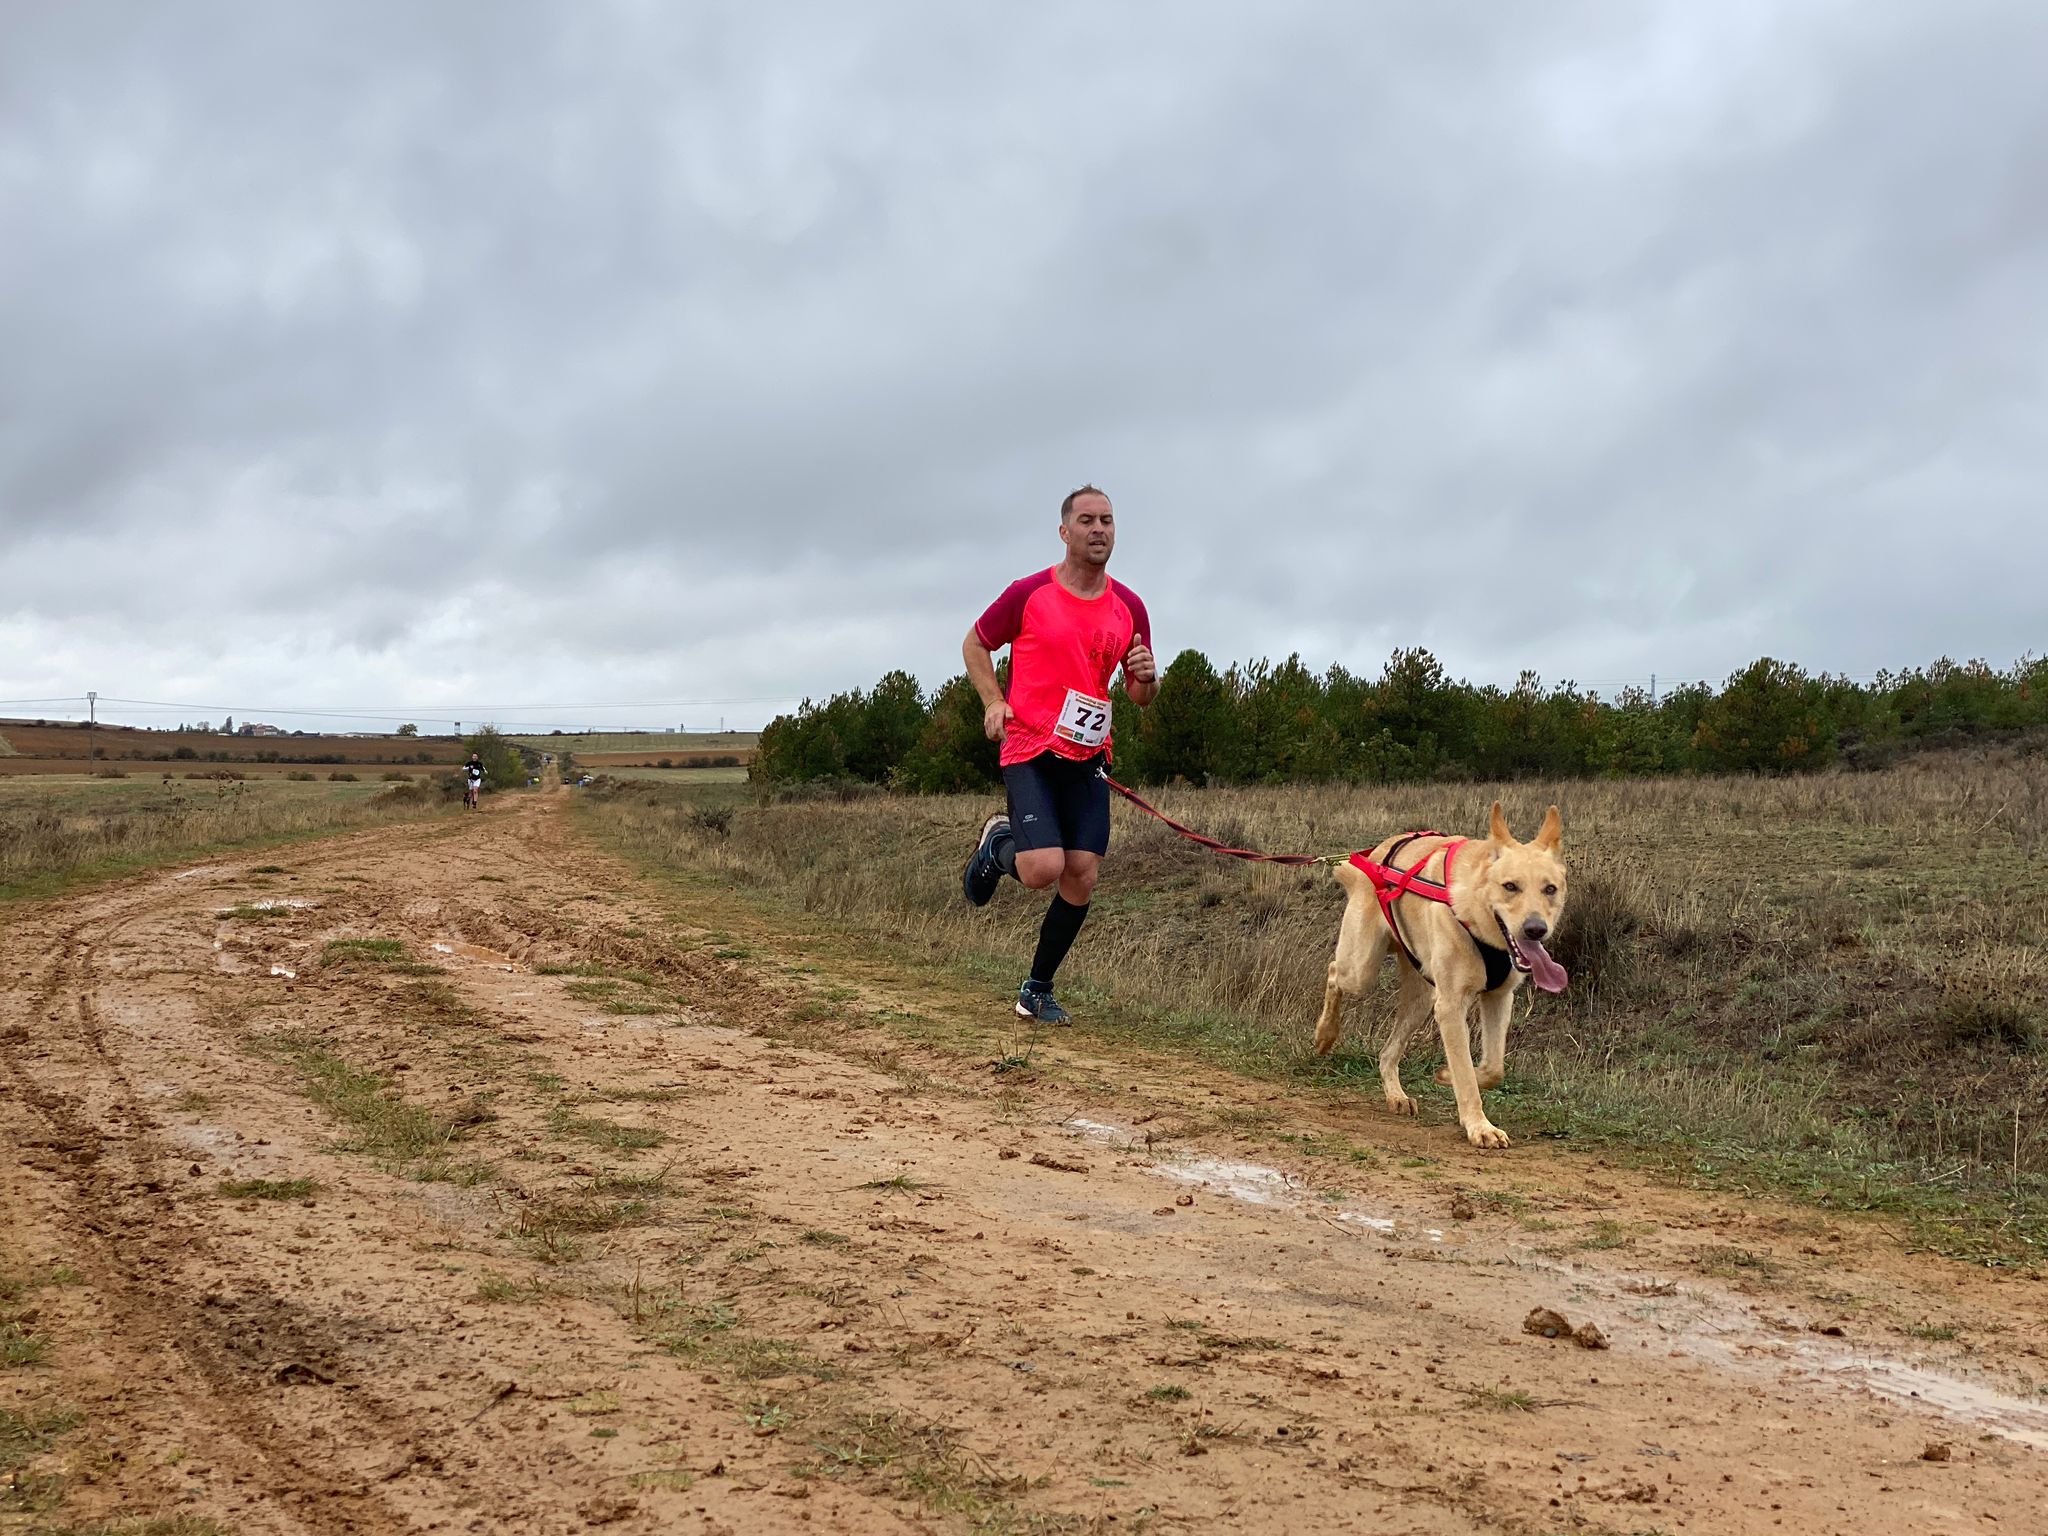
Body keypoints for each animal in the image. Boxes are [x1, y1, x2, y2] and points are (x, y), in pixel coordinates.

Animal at [1310, 806, 1564, 1146]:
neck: (1474, 913)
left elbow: (1493, 1068)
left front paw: (1446, 1076)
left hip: (1421, 999)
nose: (1535, 929)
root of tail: (1374, 856)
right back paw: (1325, 1034)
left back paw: (1396, 1095)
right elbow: (1466, 1072)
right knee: (1334, 972)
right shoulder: (1451, 1007)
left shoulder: (1499, 998)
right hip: (1361, 970)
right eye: (1510, 886)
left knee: (1388, 1052)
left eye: (1550, 889)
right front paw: (1479, 1126)